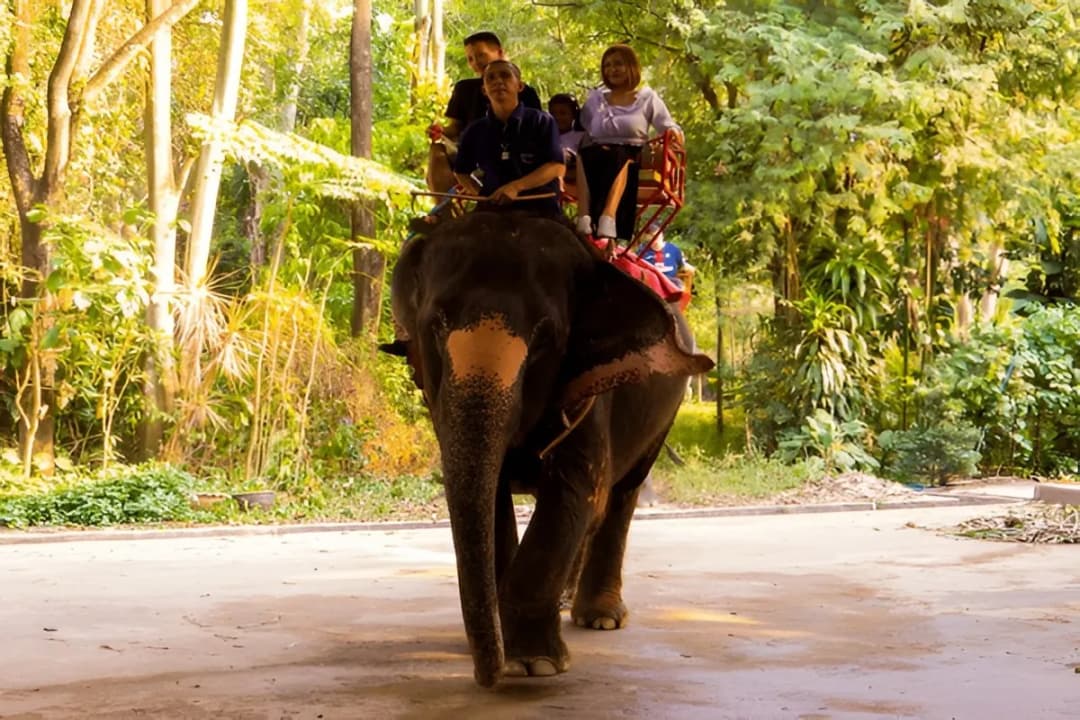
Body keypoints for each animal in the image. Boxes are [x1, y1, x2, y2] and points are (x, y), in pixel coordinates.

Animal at [380, 210, 713, 687]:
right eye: (436, 327)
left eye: (544, 339)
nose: (486, 677)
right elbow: (494, 503)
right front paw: (505, 647)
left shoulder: (592, 391)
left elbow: (574, 495)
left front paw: (532, 664)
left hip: (664, 415)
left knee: (619, 498)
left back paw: (601, 618)